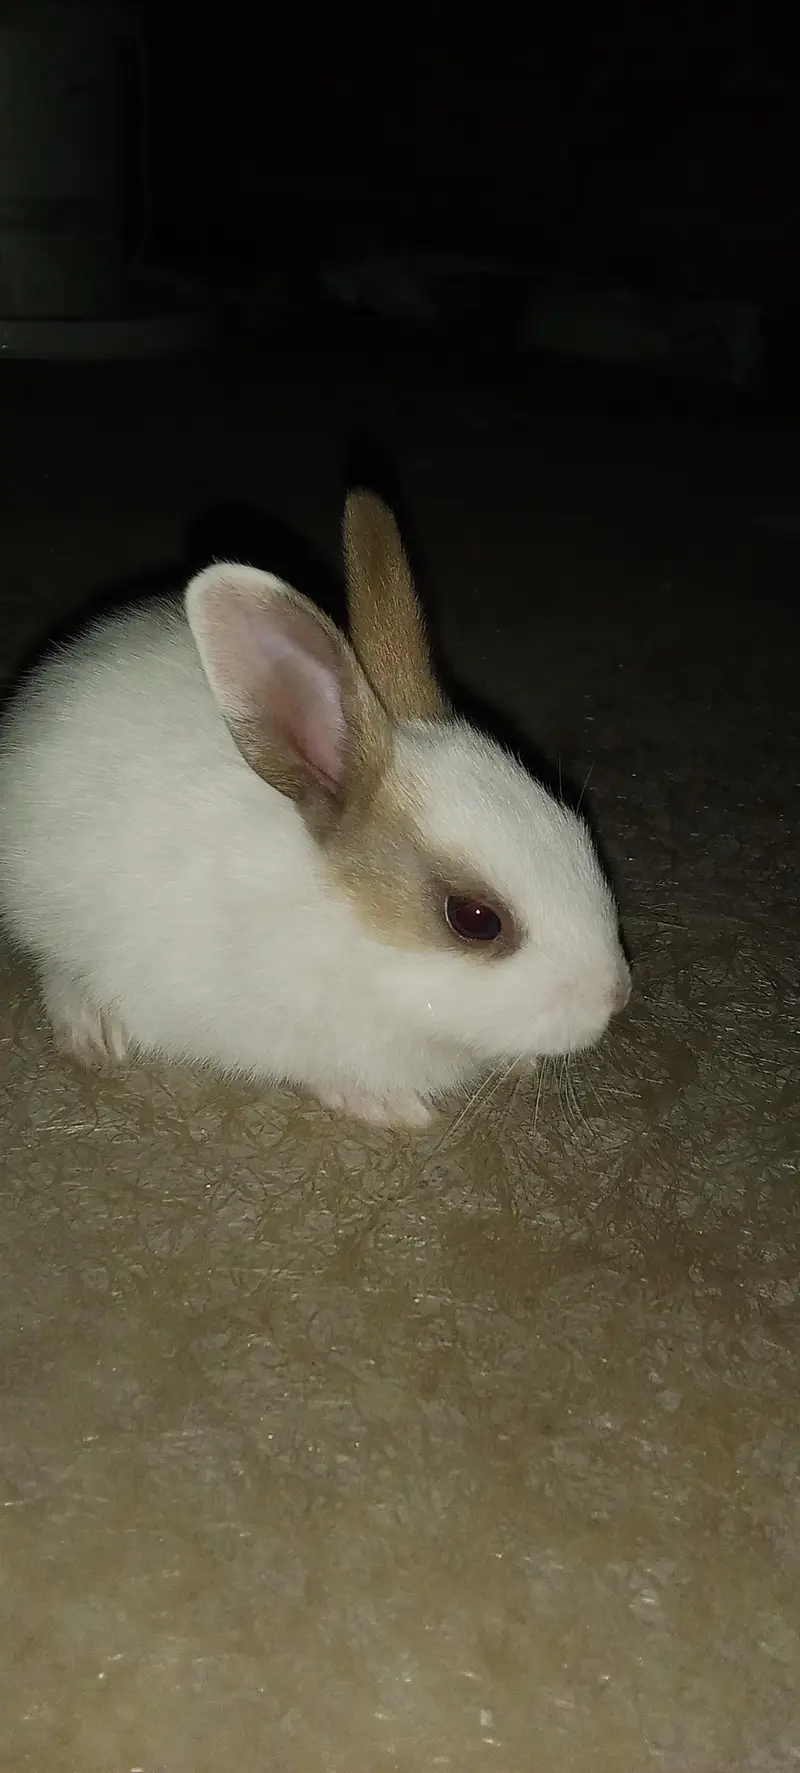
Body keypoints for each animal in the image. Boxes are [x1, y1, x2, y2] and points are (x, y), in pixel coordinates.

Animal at [0, 491, 630, 1128]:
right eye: (477, 920)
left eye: (578, 828)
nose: (615, 995)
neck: (350, 935)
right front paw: (384, 1105)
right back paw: (90, 1028)